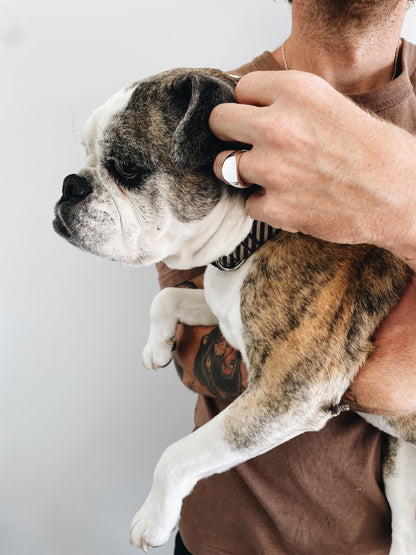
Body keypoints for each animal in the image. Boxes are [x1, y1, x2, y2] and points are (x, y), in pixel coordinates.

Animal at [53, 67, 416, 553]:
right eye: (86, 154)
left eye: (127, 168)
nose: (69, 184)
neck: (251, 237)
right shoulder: (222, 309)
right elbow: (167, 297)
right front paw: (158, 345)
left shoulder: (285, 395)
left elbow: (179, 455)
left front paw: (154, 517)